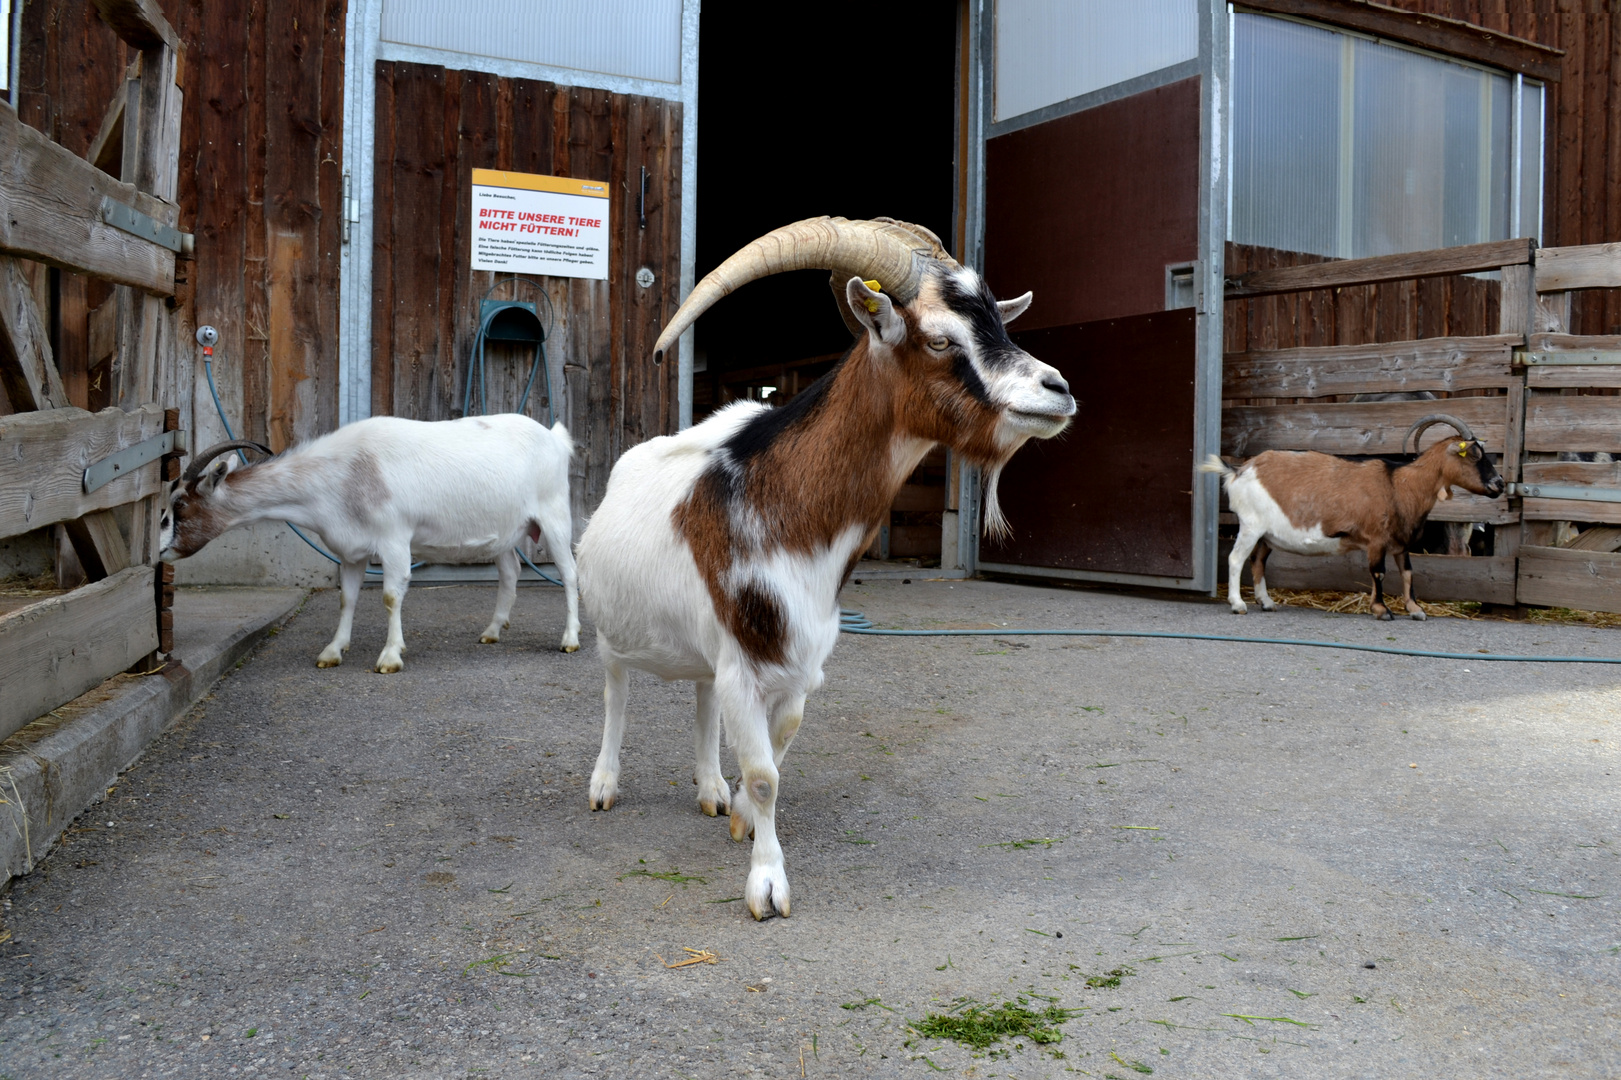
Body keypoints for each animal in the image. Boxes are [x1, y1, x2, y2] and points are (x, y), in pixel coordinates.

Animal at [158, 415, 586, 668]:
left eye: (178, 505)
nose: (160, 550)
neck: (347, 470)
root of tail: (554, 437)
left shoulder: (395, 539)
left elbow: (391, 596)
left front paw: (390, 656)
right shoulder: (350, 551)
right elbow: (347, 598)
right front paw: (332, 651)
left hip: (553, 517)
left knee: (568, 574)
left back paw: (569, 639)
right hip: (506, 532)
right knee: (510, 572)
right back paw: (493, 631)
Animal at [570, 214, 1076, 914]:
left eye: (1000, 326)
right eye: (940, 338)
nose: (1058, 391)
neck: (786, 511)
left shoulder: (792, 662)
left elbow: (778, 748)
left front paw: (738, 817)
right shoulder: (745, 664)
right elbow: (763, 775)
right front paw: (767, 885)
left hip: (702, 649)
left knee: (700, 698)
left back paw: (709, 790)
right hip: (611, 633)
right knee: (615, 693)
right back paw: (604, 785)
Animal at [1206, 413, 1504, 622]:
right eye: (1475, 454)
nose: (1499, 484)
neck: (1400, 484)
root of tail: (1239, 471)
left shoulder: (1400, 541)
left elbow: (1407, 572)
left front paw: (1415, 609)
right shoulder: (1376, 539)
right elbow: (1378, 572)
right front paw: (1382, 610)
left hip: (1267, 534)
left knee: (1258, 560)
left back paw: (1266, 602)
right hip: (1250, 525)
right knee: (1236, 558)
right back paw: (1238, 605)